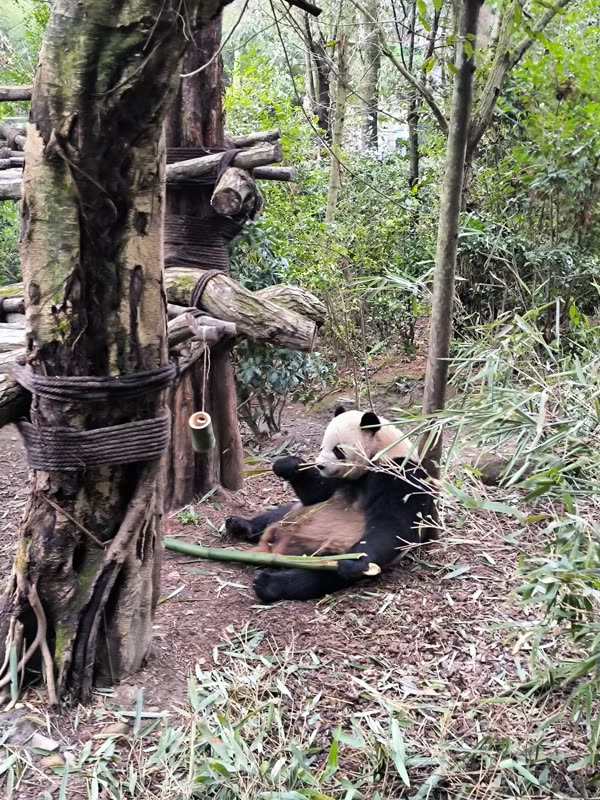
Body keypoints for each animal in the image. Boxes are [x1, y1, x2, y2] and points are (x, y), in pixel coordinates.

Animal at [225, 406, 436, 603]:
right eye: (321, 447)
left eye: (337, 450)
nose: (320, 465)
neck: (382, 450)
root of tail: (275, 547)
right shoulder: (340, 479)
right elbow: (316, 494)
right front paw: (288, 465)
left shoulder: (400, 473)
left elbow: (395, 524)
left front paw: (354, 561)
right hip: (292, 514)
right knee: (274, 515)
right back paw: (239, 525)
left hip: (326, 553)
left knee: (316, 577)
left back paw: (269, 584)